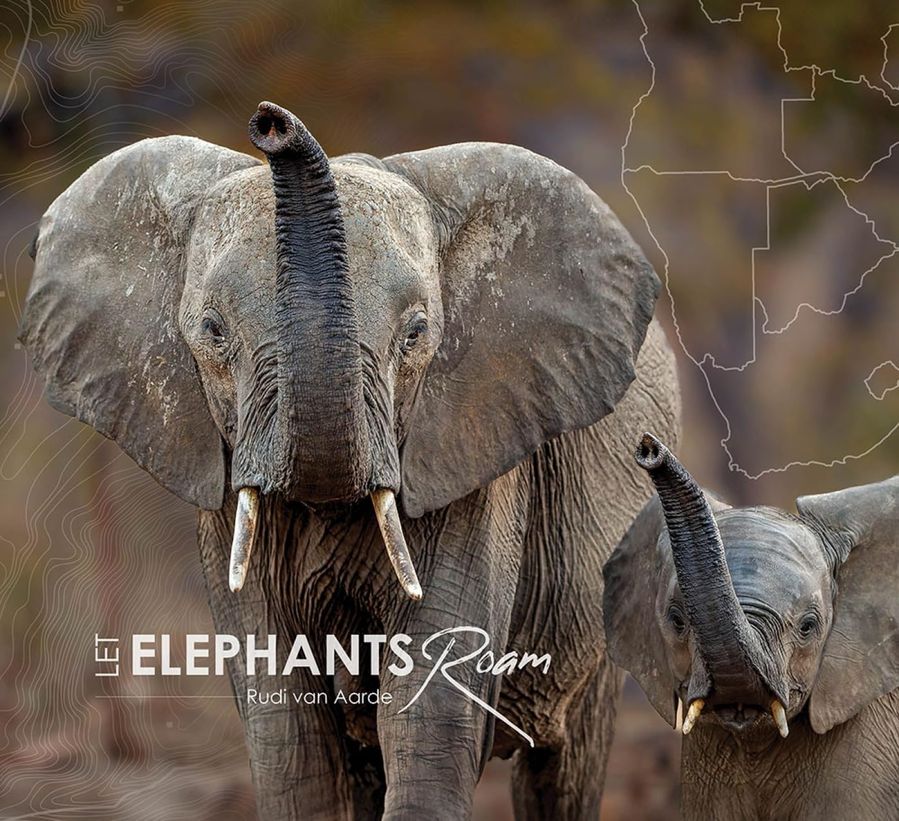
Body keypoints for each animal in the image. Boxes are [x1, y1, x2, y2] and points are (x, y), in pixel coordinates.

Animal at [20, 101, 680, 819]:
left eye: (416, 332)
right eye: (212, 331)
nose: (271, 121)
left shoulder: (471, 462)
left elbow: (428, 711)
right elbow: (289, 732)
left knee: (563, 766)